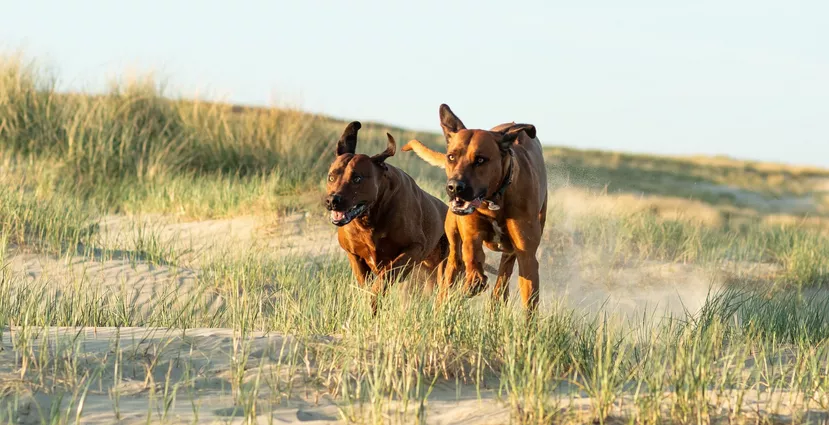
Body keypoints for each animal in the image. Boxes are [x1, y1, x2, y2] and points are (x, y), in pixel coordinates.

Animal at [326, 121, 452, 314]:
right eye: (331, 177)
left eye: (357, 178)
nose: (333, 200)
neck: (369, 220)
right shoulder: (354, 255)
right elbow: (367, 284)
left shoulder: (414, 248)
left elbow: (386, 276)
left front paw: (374, 301)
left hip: (443, 270)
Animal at [402, 104, 548, 310]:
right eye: (451, 157)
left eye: (480, 160)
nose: (454, 187)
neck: (495, 200)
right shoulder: (471, 234)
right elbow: (472, 258)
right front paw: (473, 282)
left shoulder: (527, 255)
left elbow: (529, 299)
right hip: (452, 239)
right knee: (452, 268)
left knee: (503, 275)